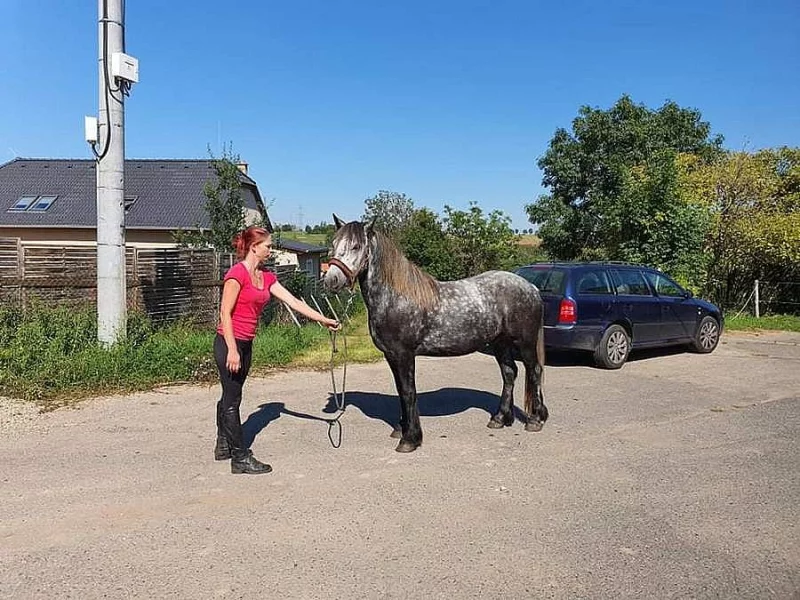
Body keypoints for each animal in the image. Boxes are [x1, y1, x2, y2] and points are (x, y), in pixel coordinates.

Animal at [323, 216, 548, 453]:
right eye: (334, 244)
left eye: (356, 246)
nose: (331, 280)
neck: (395, 297)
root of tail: (531, 287)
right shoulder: (391, 355)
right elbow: (400, 391)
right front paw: (401, 428)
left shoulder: (404, 355)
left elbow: (408, 392)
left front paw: (410, 439)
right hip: (500, 343)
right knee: (509, 373)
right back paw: (500, 418)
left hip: (525, 342)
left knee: (534, 371)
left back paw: (535, 420)